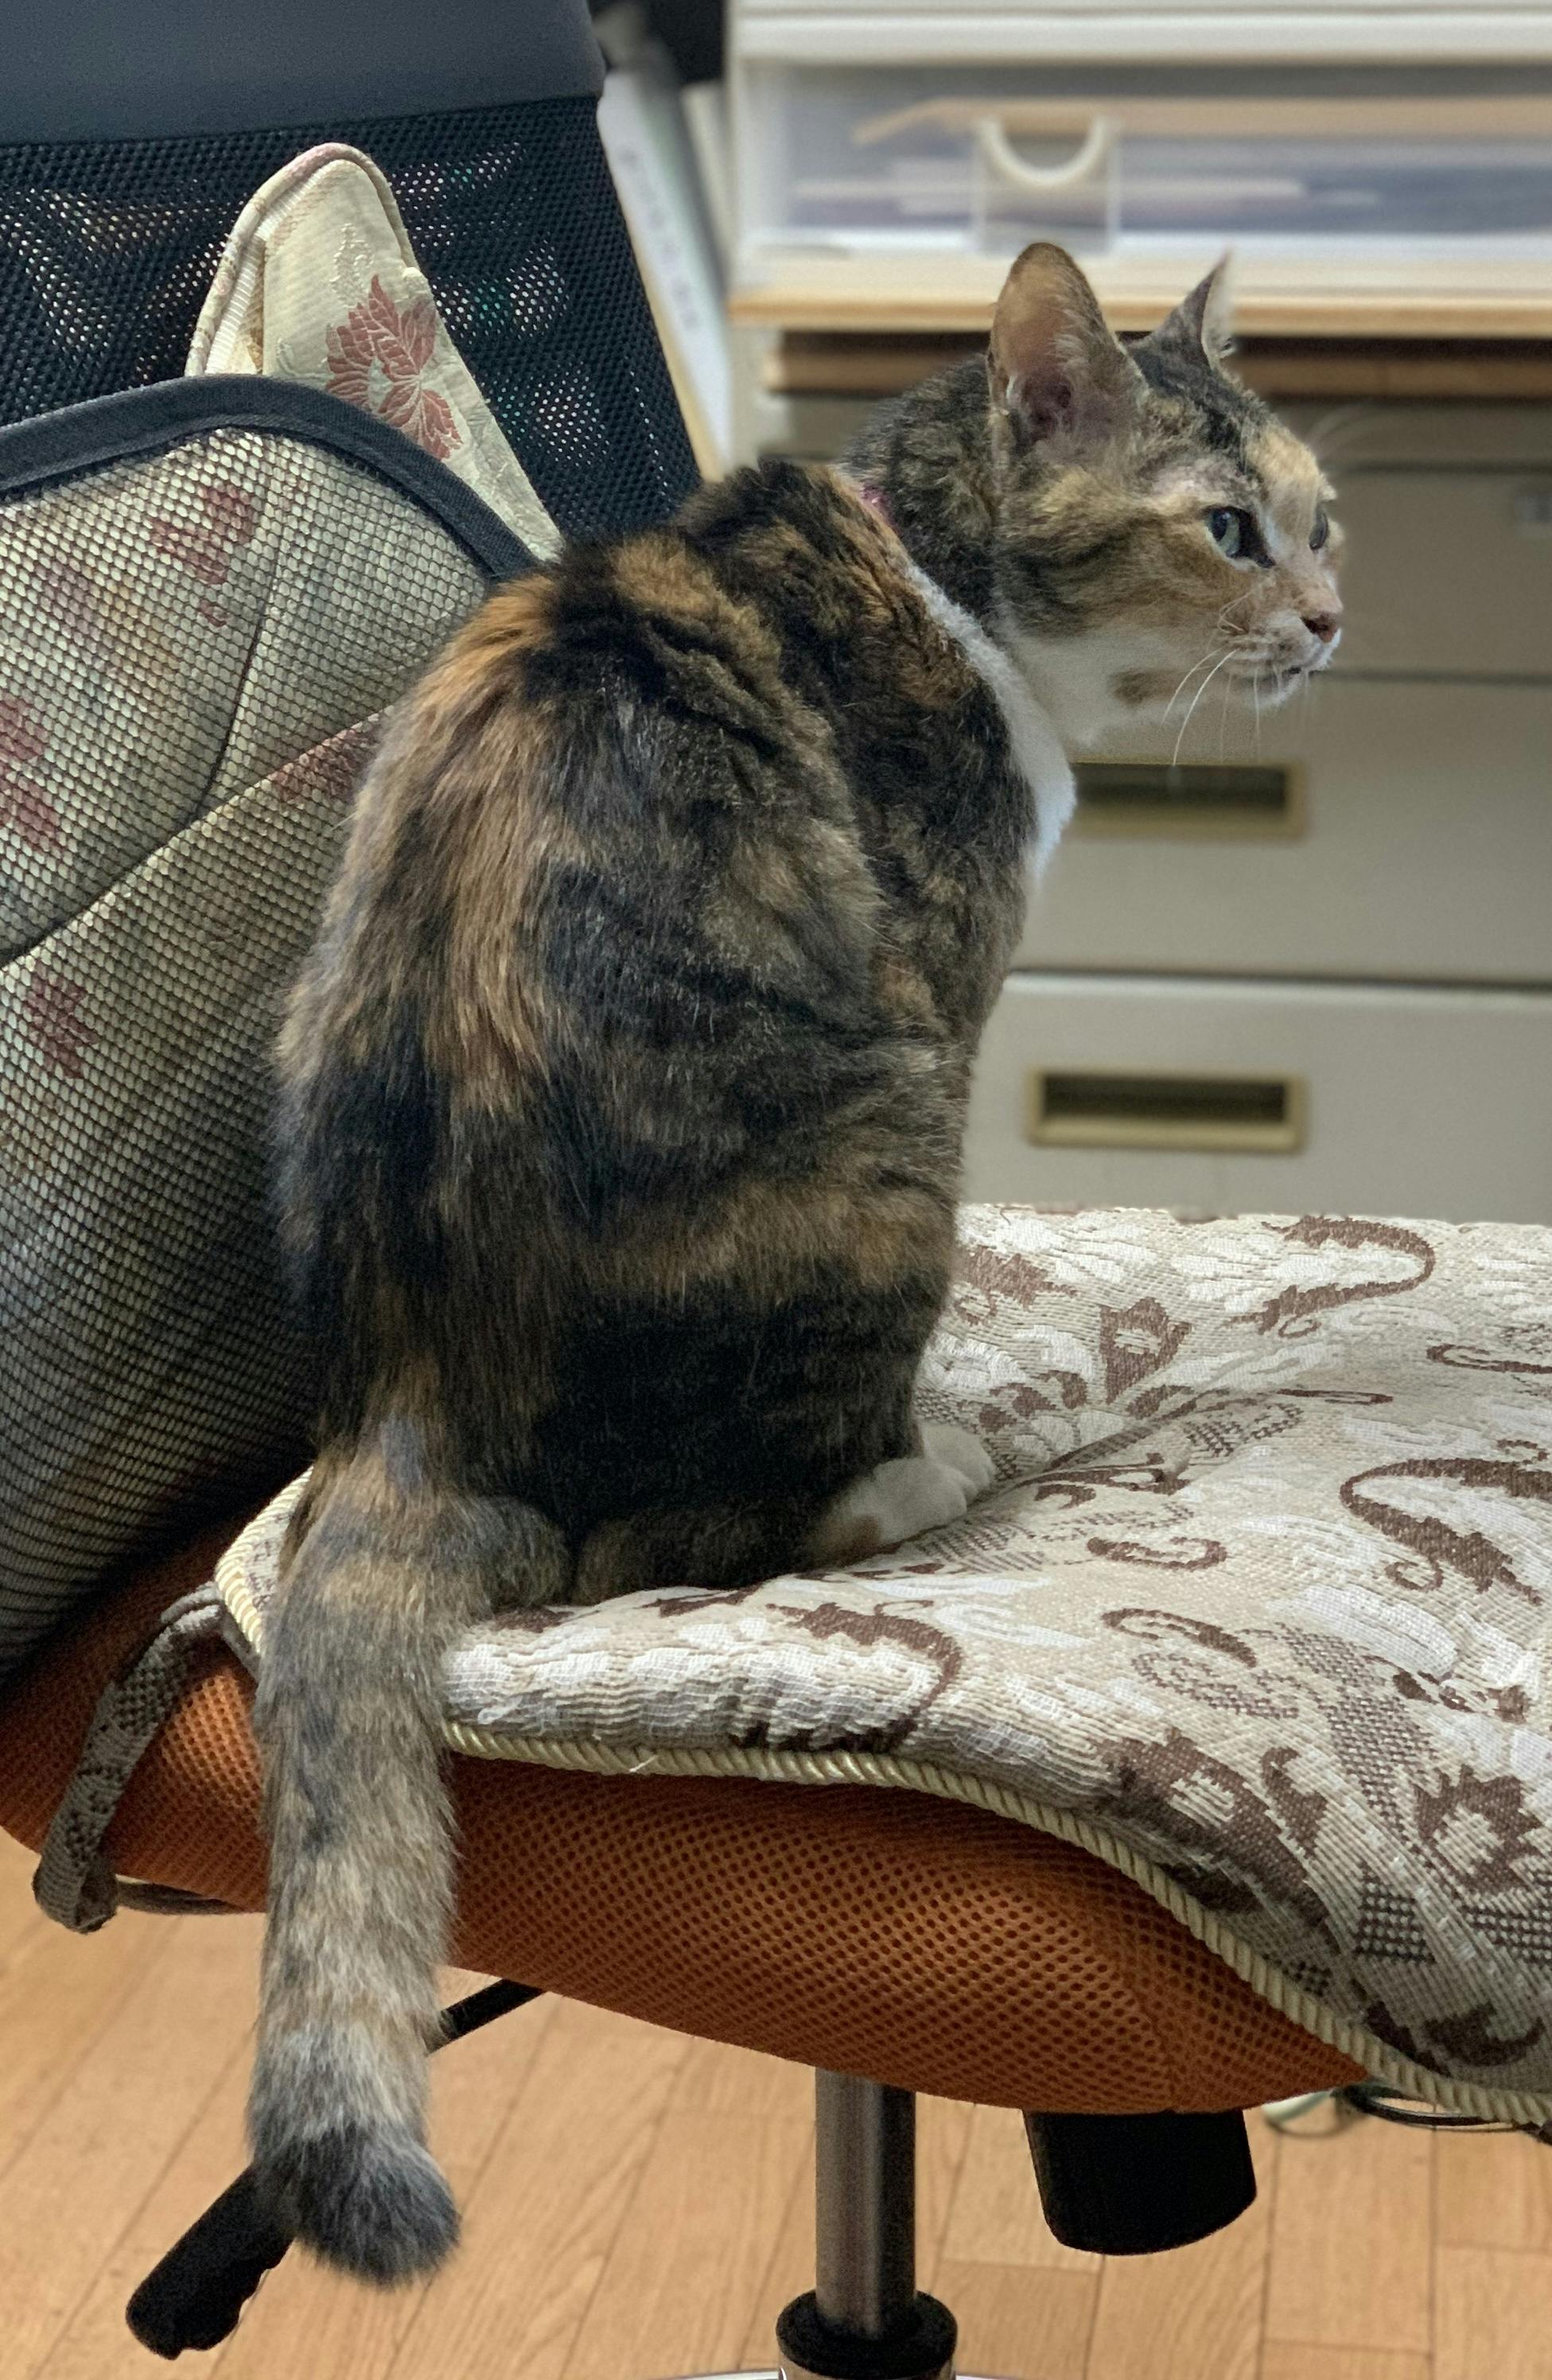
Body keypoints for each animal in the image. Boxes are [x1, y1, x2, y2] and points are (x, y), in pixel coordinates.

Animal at [250, 242, 1342, 2285]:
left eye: (1321, 518)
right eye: (1226, 528)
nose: (1328, 616)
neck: (931, 571)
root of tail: (409, 1396)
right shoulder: (951, 974)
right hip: (882, 1131)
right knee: (678, 1536)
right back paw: (921, 1466)